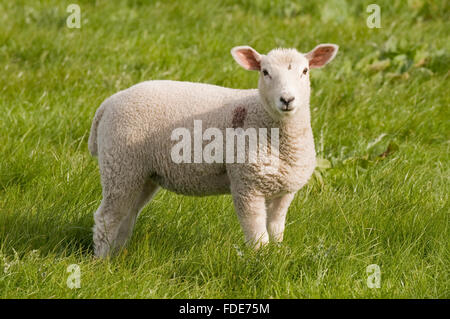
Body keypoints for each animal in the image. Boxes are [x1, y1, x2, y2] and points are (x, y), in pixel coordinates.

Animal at [88, 43, 338, 258]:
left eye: (305, 71)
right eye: (265, 72)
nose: (287, 99)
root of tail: (108, 103)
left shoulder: (283, 190)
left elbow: (276, 228)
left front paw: (276, 255)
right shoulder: (246, 184)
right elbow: (257, 233)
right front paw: (260, 260)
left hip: (142, 173)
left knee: (127, 215)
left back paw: (117, 255)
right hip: (120, 163)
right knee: (107, 217)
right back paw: (102, 261)